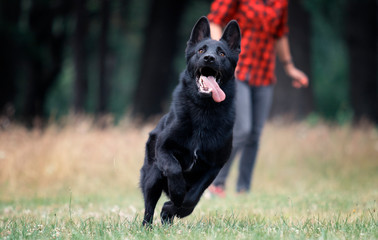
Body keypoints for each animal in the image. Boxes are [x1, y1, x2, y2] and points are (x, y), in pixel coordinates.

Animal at [140, 16, 241, 225]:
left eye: (221, 53)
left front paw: (172, 207)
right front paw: (176, 193)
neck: (203, 110)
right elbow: (174, 169)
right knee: (149, 207)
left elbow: (193, 197)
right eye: (201, 50)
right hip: (152, 176)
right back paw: (147, 226)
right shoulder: (164, 148)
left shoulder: (214, 166)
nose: (209, 58)